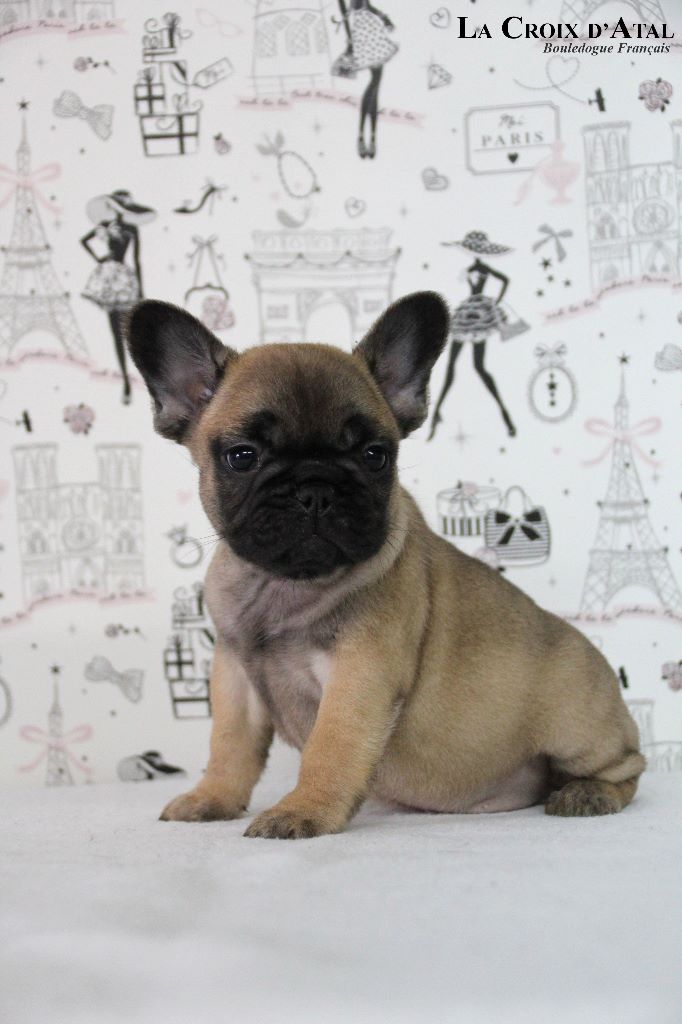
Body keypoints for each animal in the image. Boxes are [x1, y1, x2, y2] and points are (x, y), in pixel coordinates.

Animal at [126, 292, 646, 838]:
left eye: (376, 455)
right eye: (242, 457)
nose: (316, 488)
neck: (286, 583)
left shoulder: (359, 672)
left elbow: (330, 746)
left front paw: (302, 810)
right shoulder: (234, 677)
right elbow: (229, 745)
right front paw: (213, 799)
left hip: (577, 726)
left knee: (629, 766)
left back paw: (589, 793)